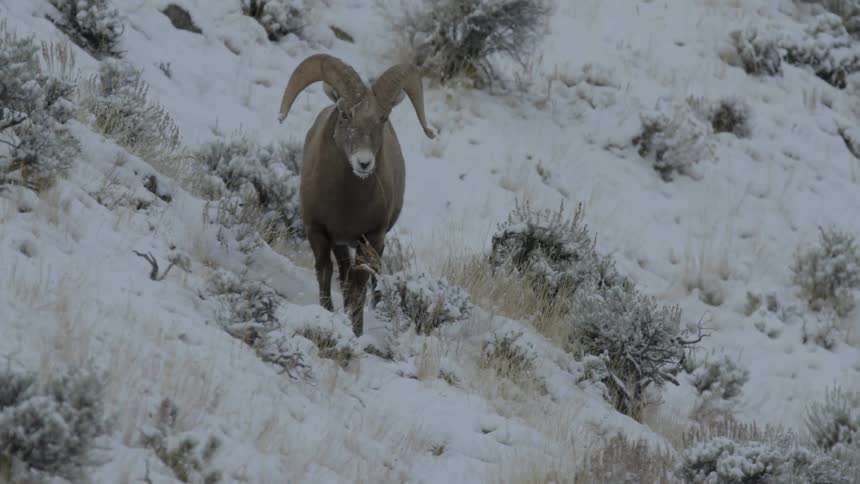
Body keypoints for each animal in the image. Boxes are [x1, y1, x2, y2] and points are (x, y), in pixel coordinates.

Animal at [278, 54, 435, 336]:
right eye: (345, 114)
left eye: (383, 118)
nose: (364, 163)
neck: (346, 203)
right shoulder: (318, 232)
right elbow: (326, 274)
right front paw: (327, 313)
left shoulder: (370, 238)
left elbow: (359, 285)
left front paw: (357, 331)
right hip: (341, 244)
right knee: (342, 273)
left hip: (373, 244)